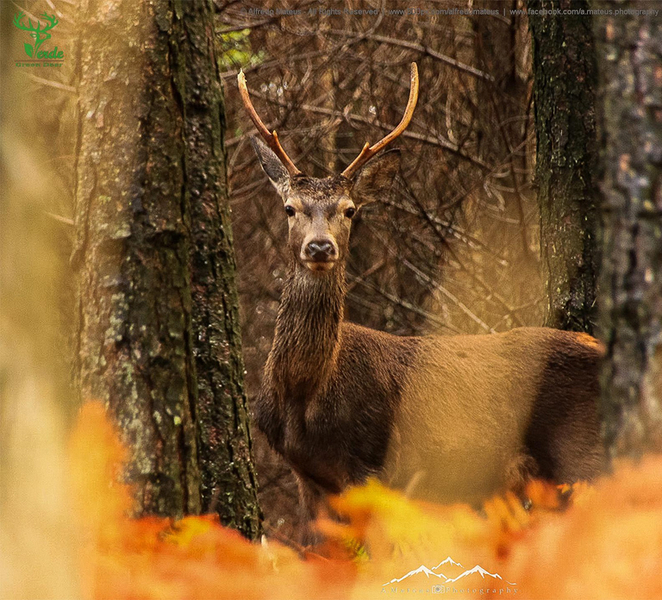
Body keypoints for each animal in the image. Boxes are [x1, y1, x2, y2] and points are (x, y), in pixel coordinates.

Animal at [238, 64, 605, 540]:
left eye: (350, 209)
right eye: (289, 208)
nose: (320, 247)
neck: (305, 392)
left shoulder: (371, 461)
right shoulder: (308, 477)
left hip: (582, 454)